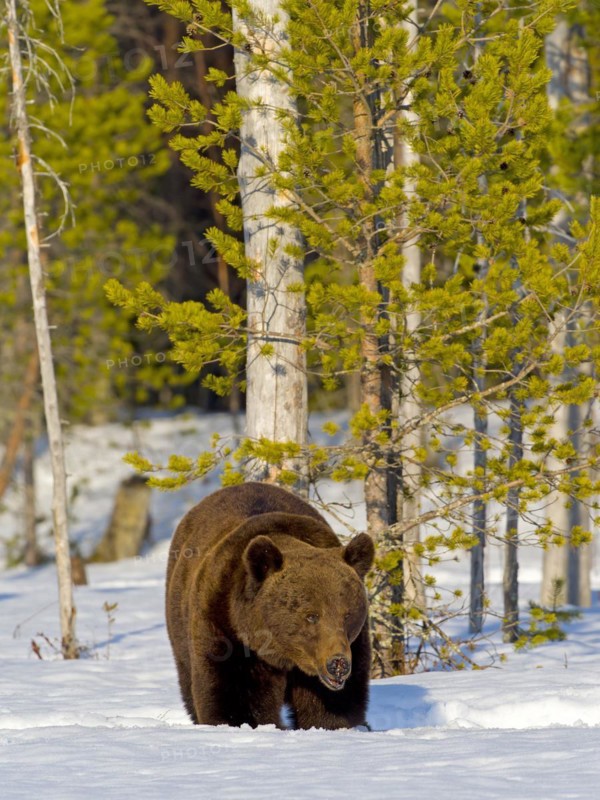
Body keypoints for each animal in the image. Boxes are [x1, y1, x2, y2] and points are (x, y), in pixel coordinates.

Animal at [166, 481, 375, 730]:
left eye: (348, 615)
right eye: (311, 615)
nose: (338, 663)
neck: (282, 654)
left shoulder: (351, 648)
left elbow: (333, 704)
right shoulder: (226, 630)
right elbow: (236, 699)